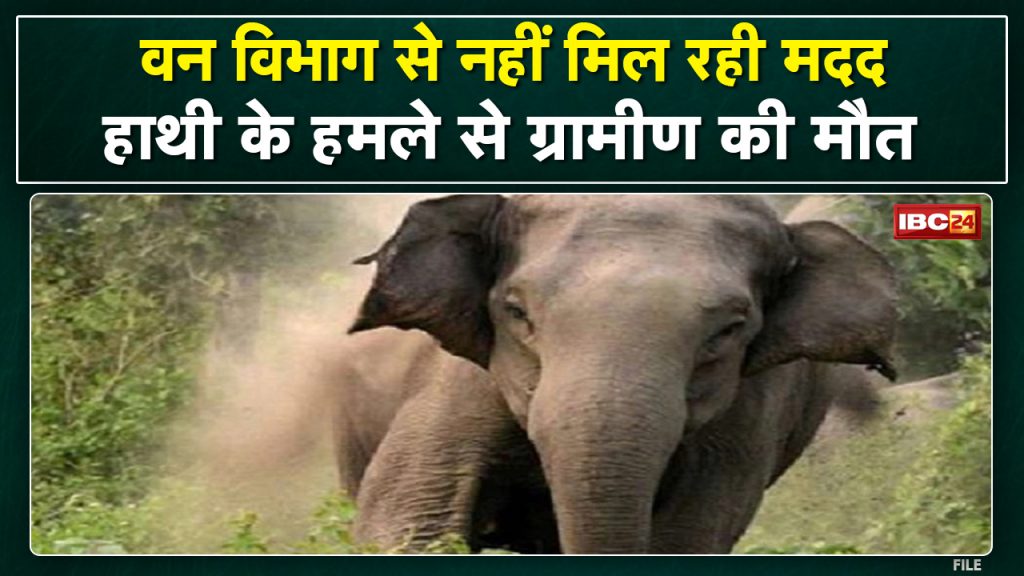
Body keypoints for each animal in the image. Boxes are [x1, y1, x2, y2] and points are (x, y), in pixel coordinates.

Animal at [330, 194, 896, 554]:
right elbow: (408, 514)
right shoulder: (459, 384)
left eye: (730, 330)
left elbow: (691, 535)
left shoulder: (749, 416)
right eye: (517, 312)